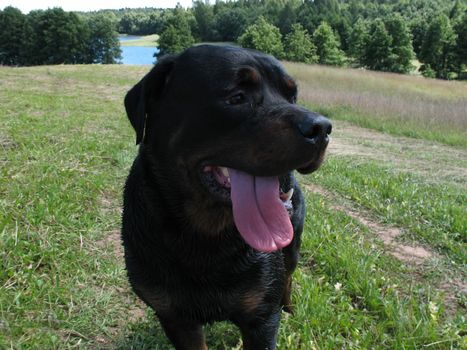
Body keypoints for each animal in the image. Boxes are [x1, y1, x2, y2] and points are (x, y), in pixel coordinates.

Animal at [122, 45, 330, 348]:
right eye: (237, 97)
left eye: (292, 96)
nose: (322, 128)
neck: (205, 237)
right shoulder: (174, 317)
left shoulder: (262, 319)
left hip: (293, 243)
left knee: (289, 275)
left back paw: (289, 307)